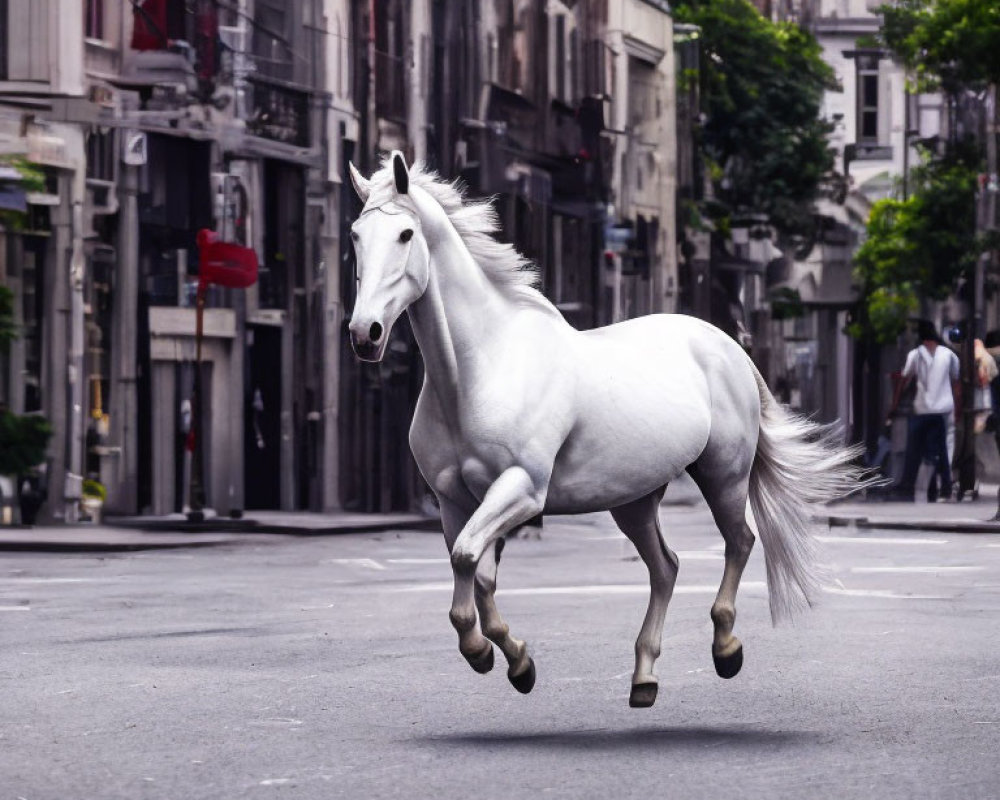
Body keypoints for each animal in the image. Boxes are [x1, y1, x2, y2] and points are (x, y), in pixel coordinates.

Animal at [346, 150, 868, 708]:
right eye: (355, 234)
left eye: (405, 234)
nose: (364, 334)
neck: (479, 371)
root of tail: (728, 346)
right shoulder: (453, 503)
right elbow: (474, 572)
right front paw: (511, 659)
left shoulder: (523, 490)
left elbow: (469, 561)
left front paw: (490, 653)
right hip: (633, 500)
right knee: (666, 567)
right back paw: (644, 678)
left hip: (723, 474)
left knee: (740, 541)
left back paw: (726, 648)